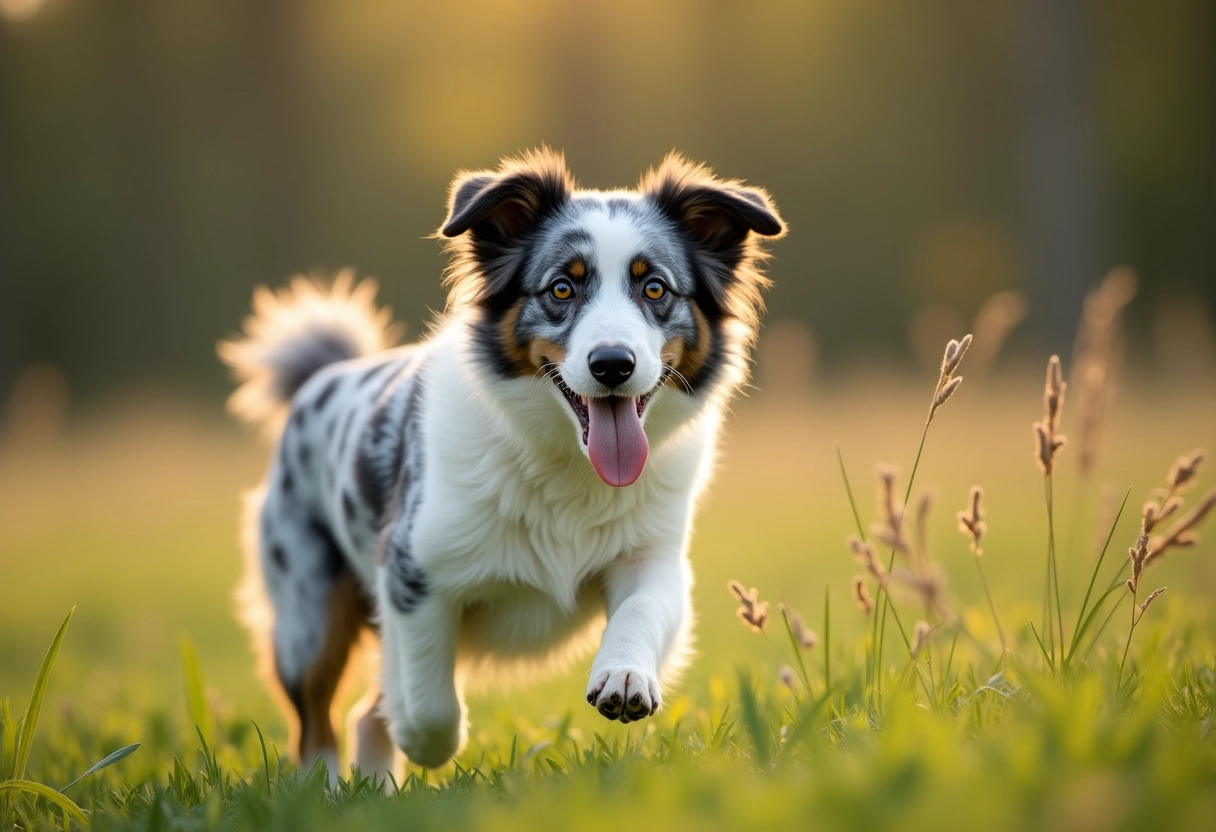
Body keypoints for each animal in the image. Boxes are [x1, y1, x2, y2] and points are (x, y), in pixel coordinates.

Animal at [218, 150, 787, 778]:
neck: (568, 466)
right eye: (561, 287)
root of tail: (322, 378)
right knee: (319, 721)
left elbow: (641, 609)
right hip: (308, 613)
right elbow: (428, 702)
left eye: (655, 287)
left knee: (363, 714)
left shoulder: (653, 556)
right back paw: (327, 785)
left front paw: (624, 675)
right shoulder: (414, 568)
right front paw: (421, 737)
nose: (613, 364)